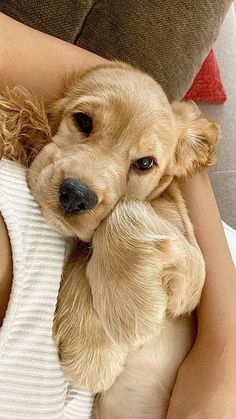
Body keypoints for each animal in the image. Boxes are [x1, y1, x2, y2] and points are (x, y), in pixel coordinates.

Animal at [0, 60, 219, 418]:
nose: (76, 196)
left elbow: (122, 208)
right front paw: (91, 345)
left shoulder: (193, 281)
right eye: (83, 121)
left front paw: (130, 311)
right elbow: (87, 246)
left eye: (144, 163)